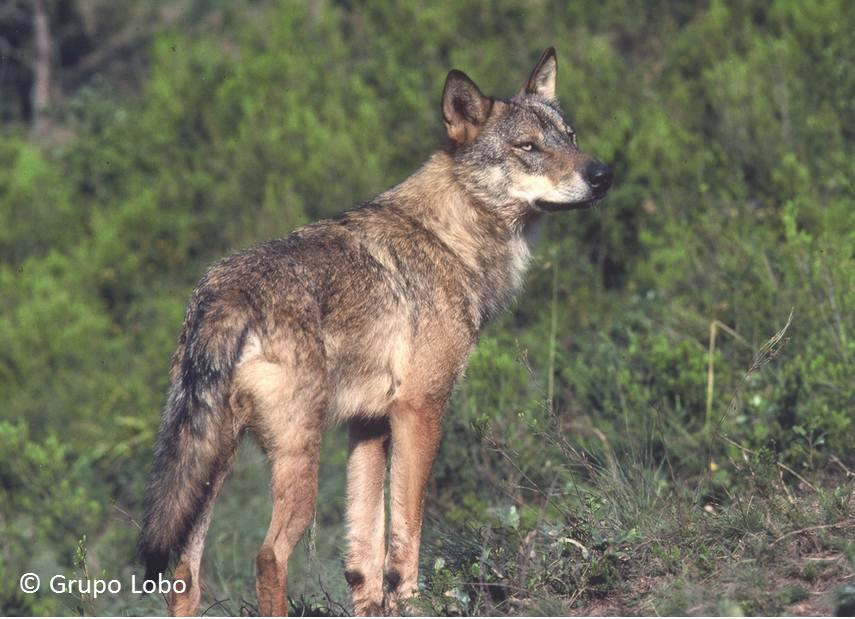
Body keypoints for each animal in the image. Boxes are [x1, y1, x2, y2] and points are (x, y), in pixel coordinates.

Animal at [137, 47, 612, 616]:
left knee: (184, 573)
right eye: (528, 147)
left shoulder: (367, 425)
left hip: (212, 466)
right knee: (269, 556)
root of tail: (223, 292)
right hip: (296, 459)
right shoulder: (418, 410)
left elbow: (365, 554)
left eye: (570, 136)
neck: (451, 239)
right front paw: (415, 602)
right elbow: (406, 534)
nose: (604, 174)